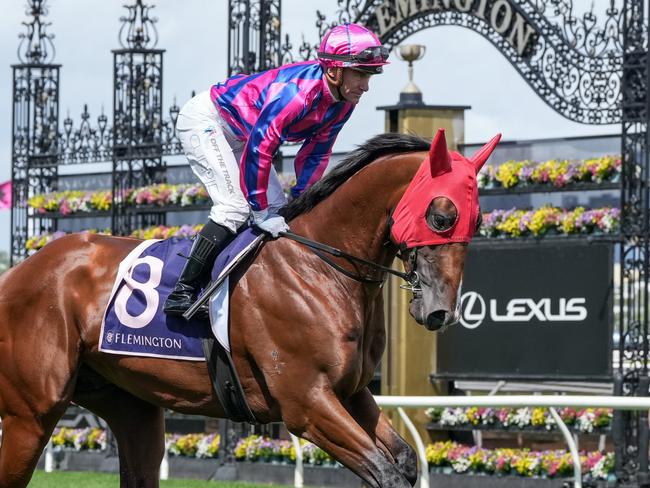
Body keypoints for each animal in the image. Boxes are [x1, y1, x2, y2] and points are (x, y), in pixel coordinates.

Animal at [0, 130, 496, 488]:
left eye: (477, 220)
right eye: (442, 217)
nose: (439, 313)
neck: (321, 268)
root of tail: (19, 271)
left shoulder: (352, 392)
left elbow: (405, 460)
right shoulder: (306, 402)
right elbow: (385, 471)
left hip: (131, 405)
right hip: (31, 412)